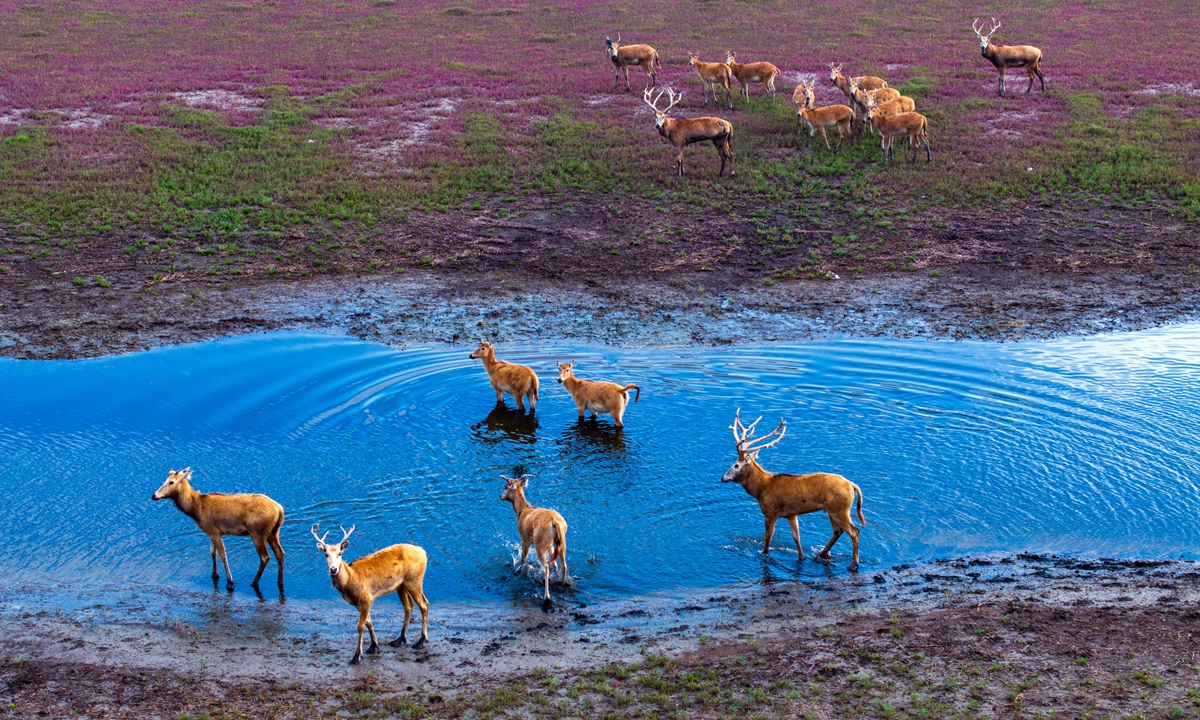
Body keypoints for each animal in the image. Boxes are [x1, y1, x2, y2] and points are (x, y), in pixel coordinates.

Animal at [151, 468, 284, 590]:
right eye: (165, 480)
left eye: (171, 482)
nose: (154, 496)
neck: (196, 510)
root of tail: (279, 509)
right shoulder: (211, 532)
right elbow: (212, 552)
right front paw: (214, 574)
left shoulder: (214, 531)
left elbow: (223, 555)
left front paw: (230, 582)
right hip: (273, 532)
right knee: (280, 553)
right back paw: (279, 581)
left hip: (257, 533)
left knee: (265, 557)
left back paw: (254, 582)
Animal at [314, 523, 432, 662]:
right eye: (326, 554)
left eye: (340, 553)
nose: (333, 569)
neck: (350, 581)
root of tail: (423, 552)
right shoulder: (358, 603)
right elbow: (369, 622)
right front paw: (374, 646)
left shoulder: (366, 598)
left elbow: (360, 626)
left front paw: (357, 656)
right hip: (401, 585)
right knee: (409, 606)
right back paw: (399, 640)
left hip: (414, 580)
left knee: (424, 605)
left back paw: (421, 641)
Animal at [499, 472, 568, 607]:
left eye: (506, 487)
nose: (500, 496)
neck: (521, 512)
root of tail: (555, 523)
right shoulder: (551, 546)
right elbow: (555, 563)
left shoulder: (525, 539)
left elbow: (522, 559)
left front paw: (518, 570)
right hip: (561, 543)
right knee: (563, 565)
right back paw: (563, 584)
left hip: (540, 544)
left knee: (546, 568)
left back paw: (546, 597)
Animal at [720, 412, 864, 571]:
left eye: (736, 465)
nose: (723, 478)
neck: (761, 489)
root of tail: (852, 485)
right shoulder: (791, 514)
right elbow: (796, 537)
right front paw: (802, 557)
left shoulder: (770, 512)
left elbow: (768, 537)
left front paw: (763, 553)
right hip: (832, 510)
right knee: (837, 531)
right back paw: (821, 554)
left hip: (840, 509)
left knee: (854, 531)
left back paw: (853, 564)